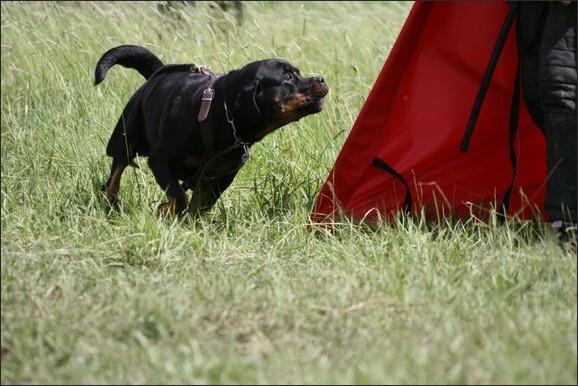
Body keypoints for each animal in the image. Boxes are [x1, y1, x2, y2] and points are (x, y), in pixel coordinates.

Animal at [94, 44, 328, 217]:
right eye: (287, 78)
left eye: (298, 73)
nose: (321, 79)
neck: (218, 115)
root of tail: (158, 73)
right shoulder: (159, 160)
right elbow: (179, 197)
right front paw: (165, 210)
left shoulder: (223, 175)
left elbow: (202, 203)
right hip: (127, 135)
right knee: (115, 174)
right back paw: (110, 202)